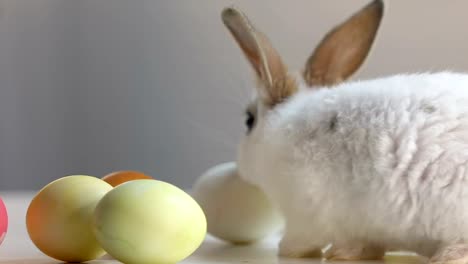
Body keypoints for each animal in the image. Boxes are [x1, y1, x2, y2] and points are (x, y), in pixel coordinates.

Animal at [220, 1, 468, 262]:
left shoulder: (304, 214)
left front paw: (290, 250)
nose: (240, 166)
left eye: (249, 121)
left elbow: (301, 241)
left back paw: (448, 255)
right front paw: (350, 252)